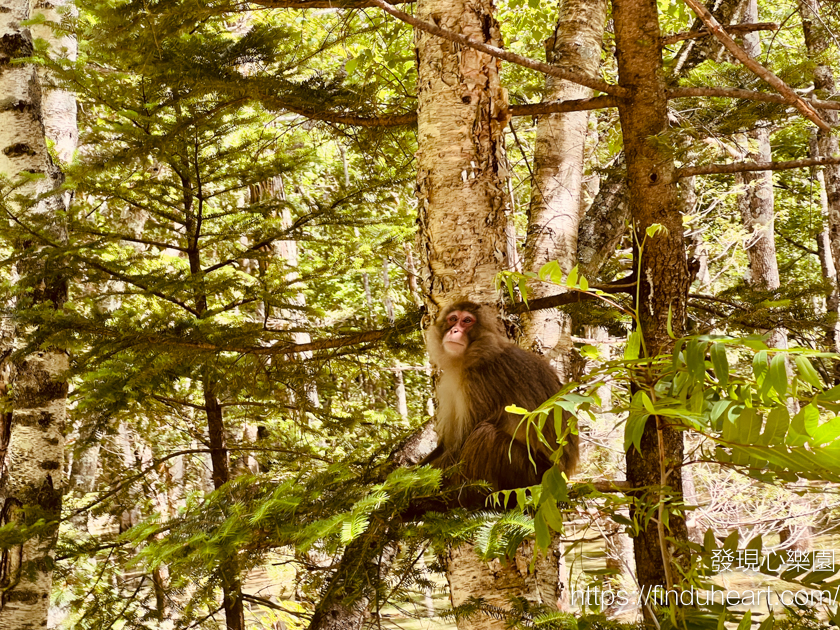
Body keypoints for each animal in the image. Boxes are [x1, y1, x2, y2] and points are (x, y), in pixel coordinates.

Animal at [426, 302, 576, 498]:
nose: (455, 330)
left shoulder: (479, 382)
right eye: (453, 319)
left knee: (485, 434)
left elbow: (459, 445)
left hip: (532, 477)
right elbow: (447, 445)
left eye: (467, 321)